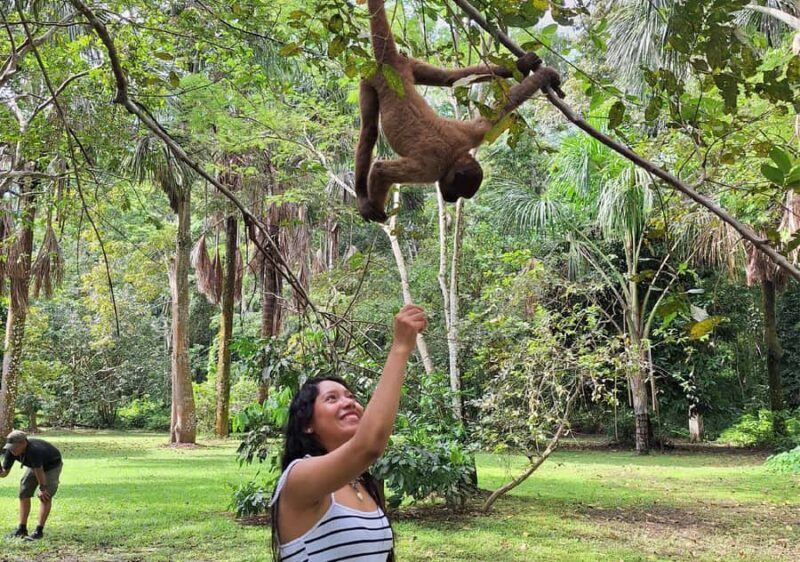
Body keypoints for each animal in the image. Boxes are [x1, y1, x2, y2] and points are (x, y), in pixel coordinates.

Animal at [355, 0, 563, 223]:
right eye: (458, 191)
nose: (452, 200)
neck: (454, 154)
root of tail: (390, 60)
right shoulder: (430, 167)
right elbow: (380, 169)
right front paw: (374, 211)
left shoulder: (471, 134)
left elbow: (498, 108)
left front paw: (545, 75)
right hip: (370, 77)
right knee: (369, 131)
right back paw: (362, 197)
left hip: (408, 64)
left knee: (449, 77)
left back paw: (521, 64)